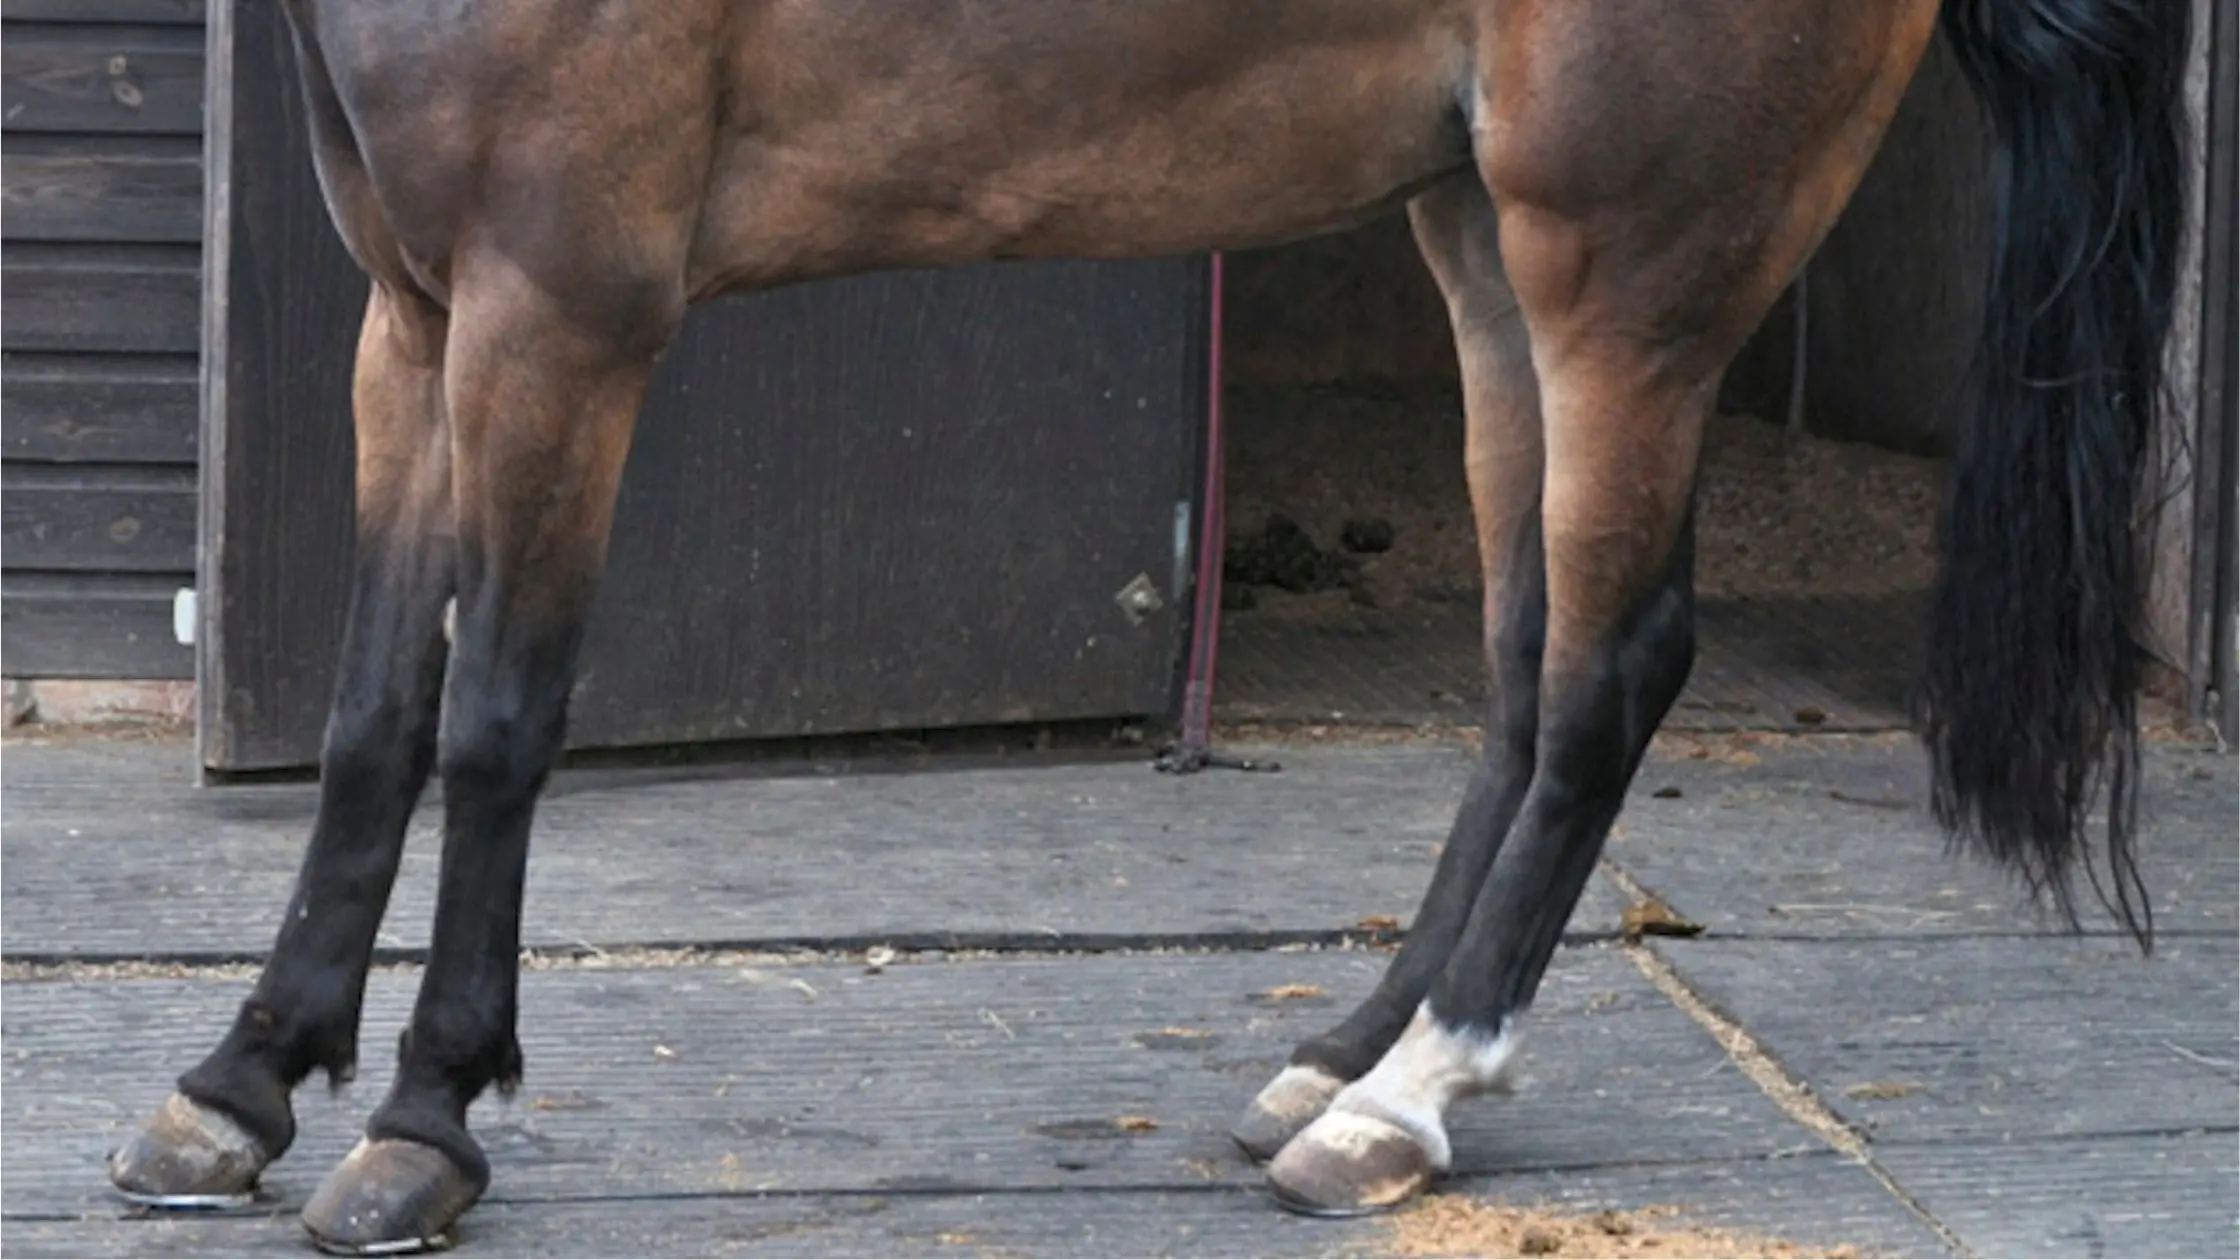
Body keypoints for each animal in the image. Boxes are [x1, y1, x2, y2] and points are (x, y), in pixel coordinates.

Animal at [105, 0, 2191, 1251]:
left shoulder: (556, 315)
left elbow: (495, 728)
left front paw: (421, 1123)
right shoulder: (412, 321)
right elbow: (370, 723)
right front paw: (236, 1090)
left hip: (1629, 282)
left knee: (1614, 671)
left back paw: (1410, 1102)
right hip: (1483, 248)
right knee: (1526, 667)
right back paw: (1348, 1057)